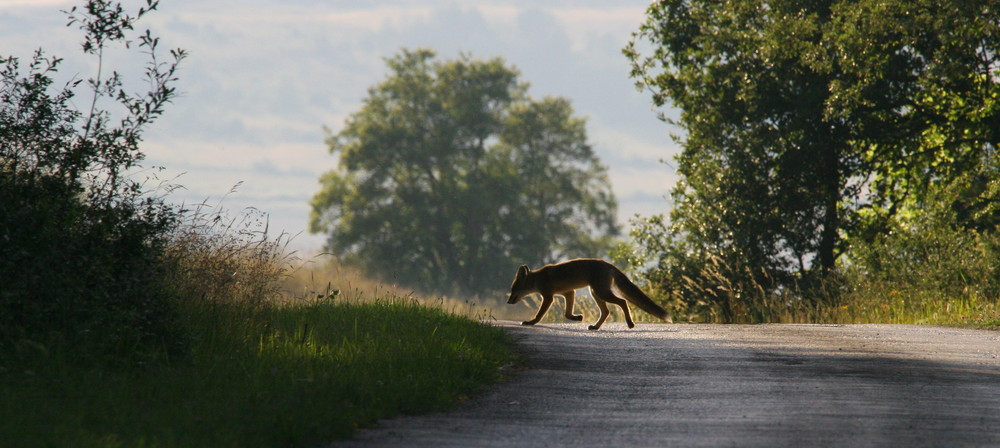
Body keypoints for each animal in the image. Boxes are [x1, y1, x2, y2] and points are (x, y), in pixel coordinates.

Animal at [508, 260, 672, 328]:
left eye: (513, 289)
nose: (508, 302)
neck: (538, 279)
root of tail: (610, 265)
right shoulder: (569, 292)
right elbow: (567, 314)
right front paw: (577, 318)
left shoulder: (548, 296)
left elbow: (539, 315)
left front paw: (531, 322)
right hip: (595, 293)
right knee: (606, 312)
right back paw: (595, 327)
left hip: (601, 292)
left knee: (623, 302)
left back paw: (630, 323)